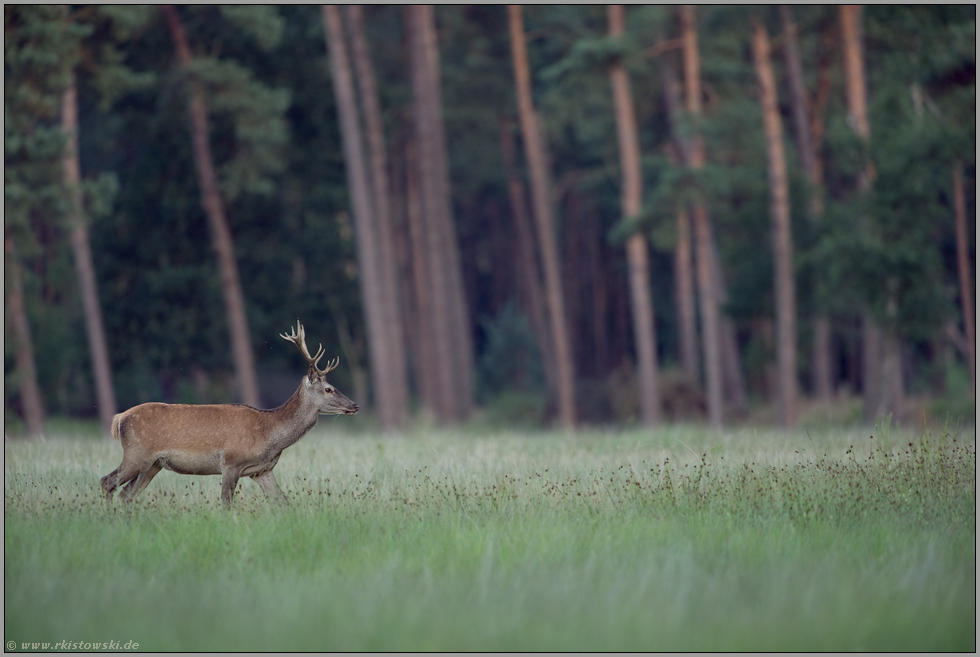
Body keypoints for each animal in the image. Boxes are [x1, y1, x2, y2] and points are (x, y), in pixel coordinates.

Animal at [99, 322, 358, 508]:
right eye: (329, 389)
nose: (355, 405)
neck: (270, 433)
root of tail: (119, 418)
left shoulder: (262, 470)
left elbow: (283, 502)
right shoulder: (231, 462)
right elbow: (225, 504)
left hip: (153, 464)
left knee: (126, 495)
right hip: (137, 455)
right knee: (107, 482)